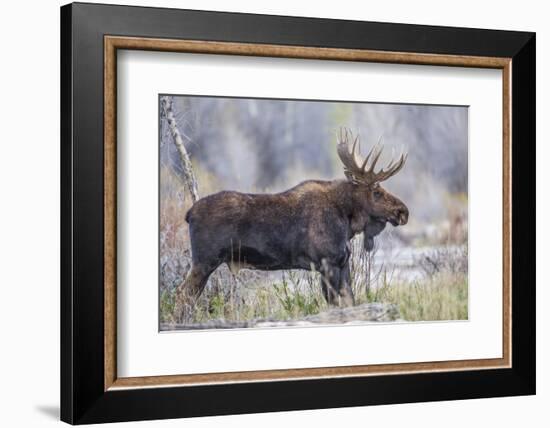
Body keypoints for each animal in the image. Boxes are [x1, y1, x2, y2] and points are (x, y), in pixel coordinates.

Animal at [177, 130, 410, 320]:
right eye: (376, 192)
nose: (403, 211)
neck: (348, 220)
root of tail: (188, 214)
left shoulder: (343, 263)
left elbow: (349, 301)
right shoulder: (327, 263)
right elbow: (335, 304)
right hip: (204, 261)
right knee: (182, 295)